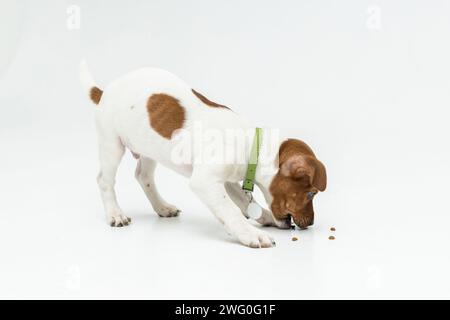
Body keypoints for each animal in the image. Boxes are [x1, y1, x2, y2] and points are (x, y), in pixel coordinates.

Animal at [79, 62, 326, 248]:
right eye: (311, 194)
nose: (311, 223)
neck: (250, 145)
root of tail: (104, 92)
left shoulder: (226, 181)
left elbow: (243, 203)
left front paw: (264, 218)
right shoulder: (205, 180)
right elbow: (231, 210)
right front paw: (251, 234)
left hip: (149, 149)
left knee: (143, 176)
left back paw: (162, 207)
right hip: (112, 145)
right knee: (105, 180)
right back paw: (115, 214)